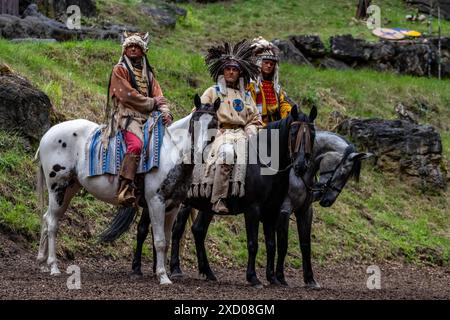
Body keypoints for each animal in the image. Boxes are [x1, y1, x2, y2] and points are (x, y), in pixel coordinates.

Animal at [35, 95, 220, 284]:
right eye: (195, 121)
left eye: (214, 123)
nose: (200, 152)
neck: (171, 153)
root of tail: (47, 135)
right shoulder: (156, 202)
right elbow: (160, 241)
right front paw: (163, 276)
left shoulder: (173, 206)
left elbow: (166, 240)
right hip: (57, 188)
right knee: (52, 223)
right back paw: (53, 266)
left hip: (68, 190)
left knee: (47, 218)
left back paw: (42, 263)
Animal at [125, 105, 318, 288]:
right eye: (293, 132)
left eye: (313, 134)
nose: (301, 165)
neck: (263, 165)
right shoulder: (253, 209)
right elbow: (253, 243)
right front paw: (253, 278)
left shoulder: (272, 211)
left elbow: (272, 244)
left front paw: (273, 278)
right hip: (162, 201)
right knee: (148, 229)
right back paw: (141, 268)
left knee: (195, 231)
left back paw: (202, 272)